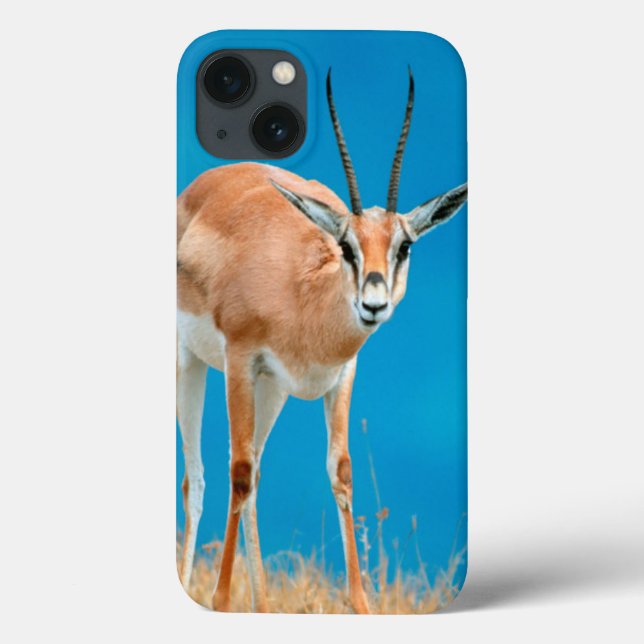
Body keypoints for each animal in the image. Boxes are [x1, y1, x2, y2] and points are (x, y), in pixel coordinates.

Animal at [177, 69, 467, 614]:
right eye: (346, 245)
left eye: (404, 245)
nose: (373, 302)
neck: (301, 297)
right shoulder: (240, 360)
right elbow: (237, 469)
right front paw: (222, 600)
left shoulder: (339, 375)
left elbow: (340, 471)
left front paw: (361, 604)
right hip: (192, 364)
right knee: (199, 476)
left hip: (272, 391)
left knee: (254, 474)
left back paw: (264, 605)